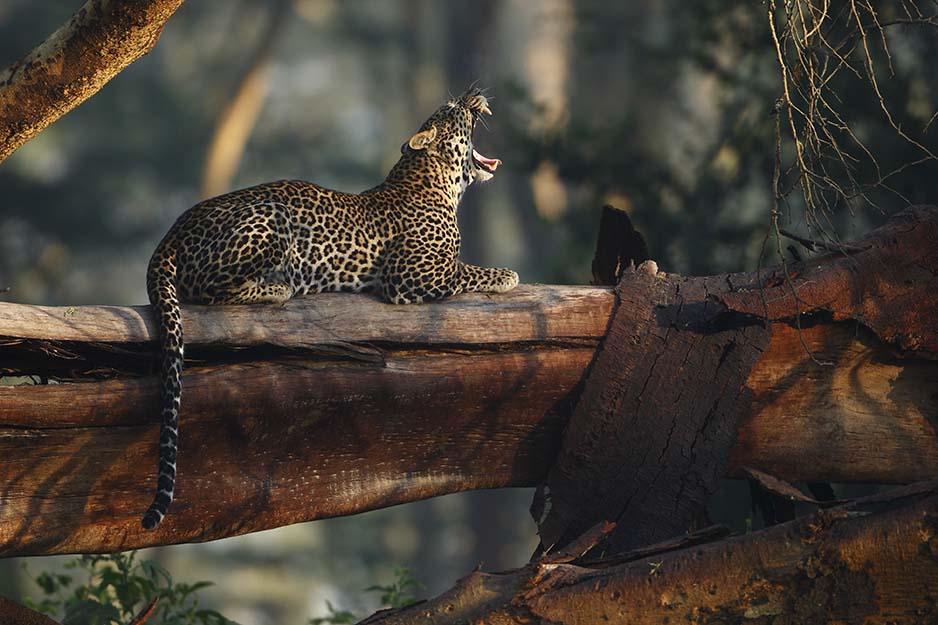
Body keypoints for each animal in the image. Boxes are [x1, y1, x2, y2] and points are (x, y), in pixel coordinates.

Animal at [141, 87, 519, 530]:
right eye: (451, 110)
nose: (473, 95)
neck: (436, 181)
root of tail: (172, 232)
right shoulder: (412, 273)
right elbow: (468, 270)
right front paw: (507, 275)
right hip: (270, 217)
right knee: (209, 290)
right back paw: (277, 287)